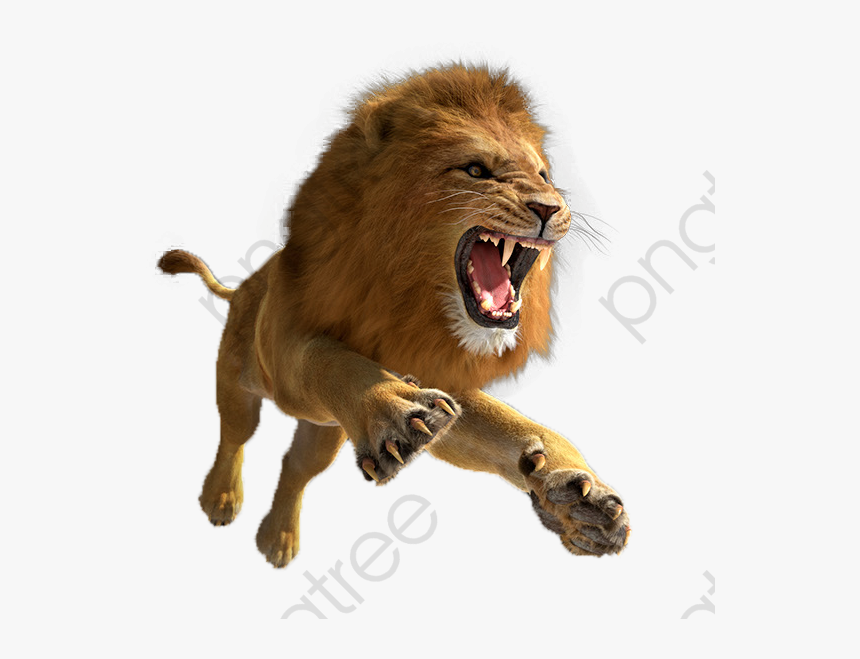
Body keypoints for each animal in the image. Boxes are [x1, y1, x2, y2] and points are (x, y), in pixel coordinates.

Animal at [158, 64, 630, 567]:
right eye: (476, 171)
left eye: (544, 175)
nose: (549, 207)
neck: (410, 303)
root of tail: (243, 287)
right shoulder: (288, 339)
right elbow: (325, 358)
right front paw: (395, 410)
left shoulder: (440, 373)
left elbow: (508, 427)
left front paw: (580, 498)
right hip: (237, 383)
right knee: (235, 436)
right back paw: (220, 498)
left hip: (323, 432)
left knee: (296, 467)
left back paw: (278, 538)